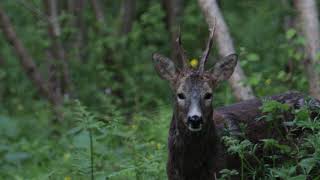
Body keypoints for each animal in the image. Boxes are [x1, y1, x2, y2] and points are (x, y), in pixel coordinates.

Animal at [151, 30, 320, 179]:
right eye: (180, 94)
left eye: (208, 94)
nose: (195, 119)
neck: (191, 167)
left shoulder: (225, 171)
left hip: (305, 151)